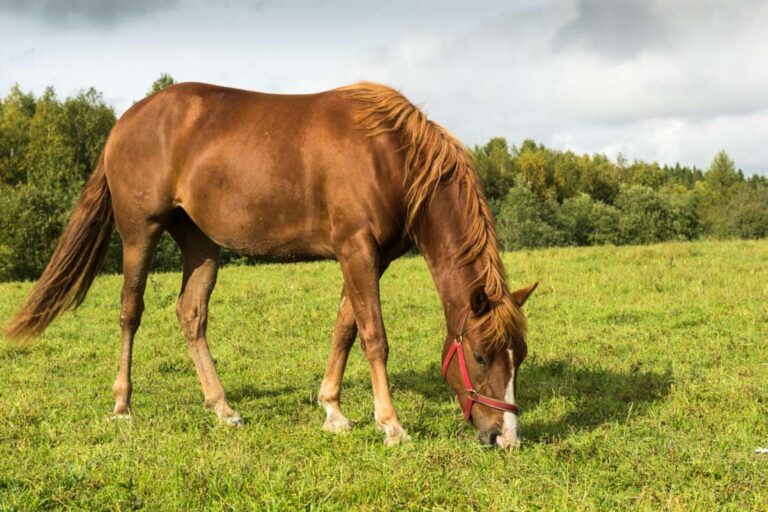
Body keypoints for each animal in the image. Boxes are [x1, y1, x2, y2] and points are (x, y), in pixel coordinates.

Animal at [5, 82, 537, 448]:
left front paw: (333, 411)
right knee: (129, 312)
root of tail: (124, 122)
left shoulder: (372, 257)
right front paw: (390, 425)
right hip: (141, 232)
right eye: (481, 356)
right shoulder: (357, 249)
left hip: (200, 243)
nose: (505, 437)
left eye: (521, 356)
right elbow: (374, 336)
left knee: (191, 315)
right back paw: (122, 404)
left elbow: (345, 327)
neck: (392, 158)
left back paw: (223, 408)